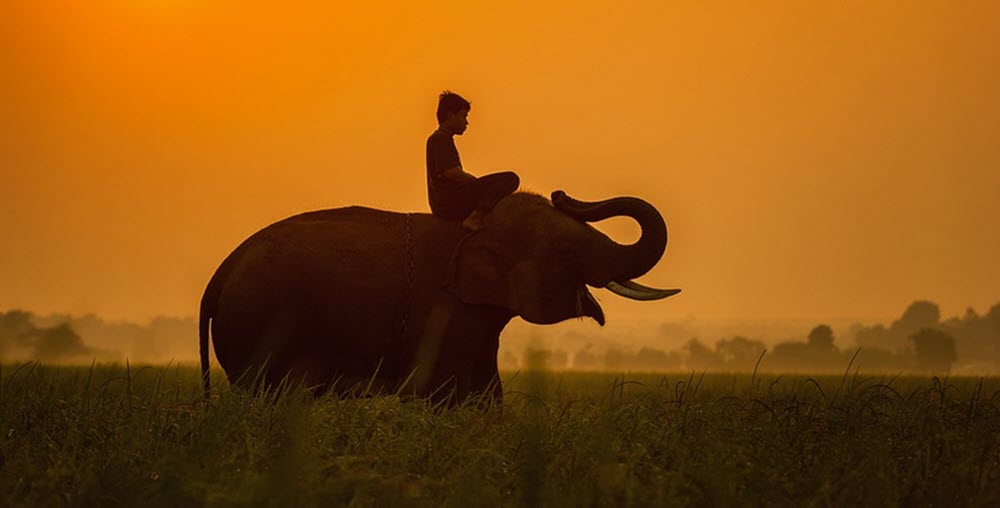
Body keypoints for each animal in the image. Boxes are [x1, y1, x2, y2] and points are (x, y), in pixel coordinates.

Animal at [197, 189, 680, 402]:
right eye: (566, 251)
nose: (562, 193)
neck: (476, 225)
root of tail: (218, 276)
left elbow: (486, 394)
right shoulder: (441, 310)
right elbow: (441, 391)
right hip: (263, 327)